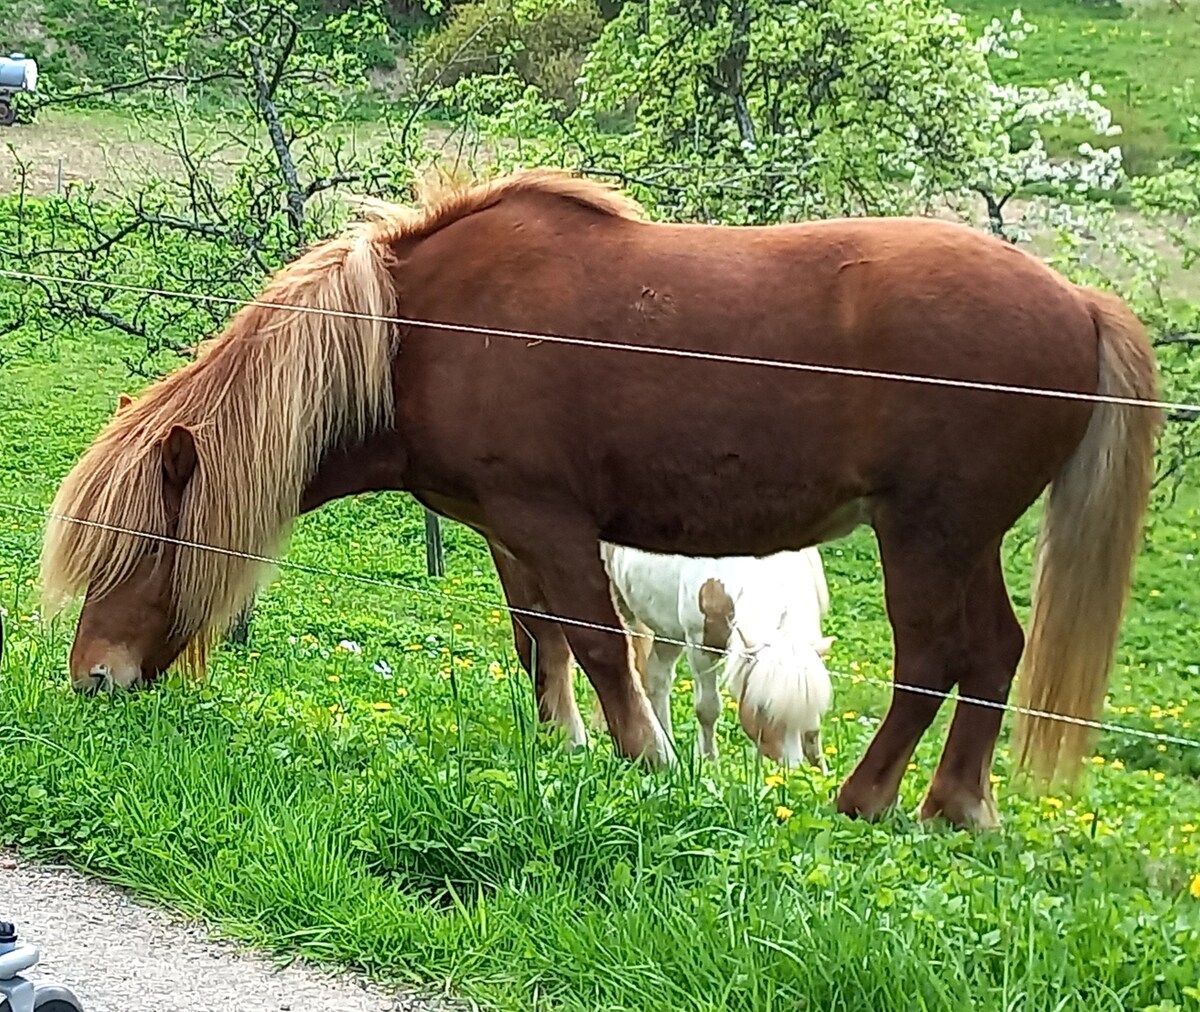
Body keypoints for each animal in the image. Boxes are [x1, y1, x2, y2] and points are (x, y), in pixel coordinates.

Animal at [600, 545, 835, 768]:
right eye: (761, 708)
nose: (792, 770)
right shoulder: (701, 647)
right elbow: (708, 709)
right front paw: (709, 762)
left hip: (667, 631)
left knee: (657, 681)